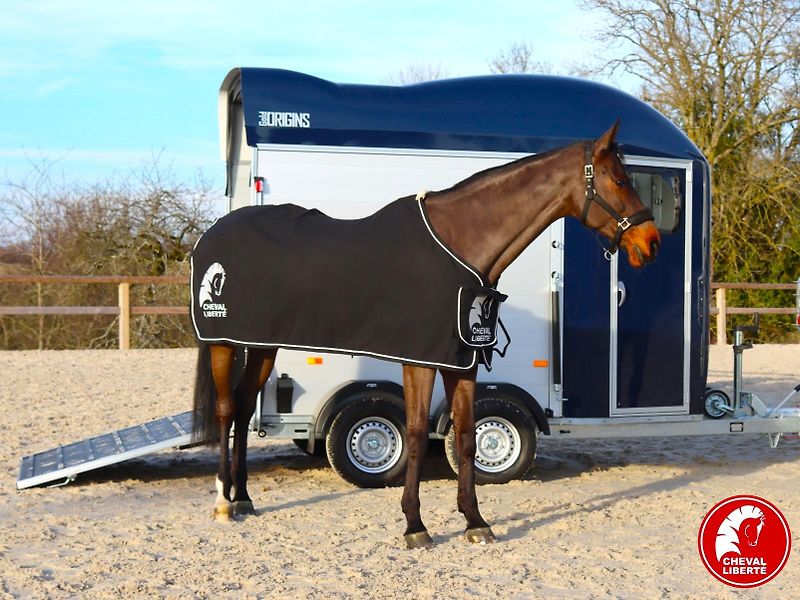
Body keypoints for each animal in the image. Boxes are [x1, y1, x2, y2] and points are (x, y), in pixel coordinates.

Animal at [191, 121, 660, 548]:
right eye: (620, 179)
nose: (652, 242)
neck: (461, 244)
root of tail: (210, 234)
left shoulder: (462, 360)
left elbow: (468, 436)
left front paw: (475, 521)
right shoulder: (420, 359)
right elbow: (416, 434)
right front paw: (415, 526)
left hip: (261, 345)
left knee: (243, 410)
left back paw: (244, 497)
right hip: (222, 344)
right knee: (226, 409)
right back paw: (222, 503)